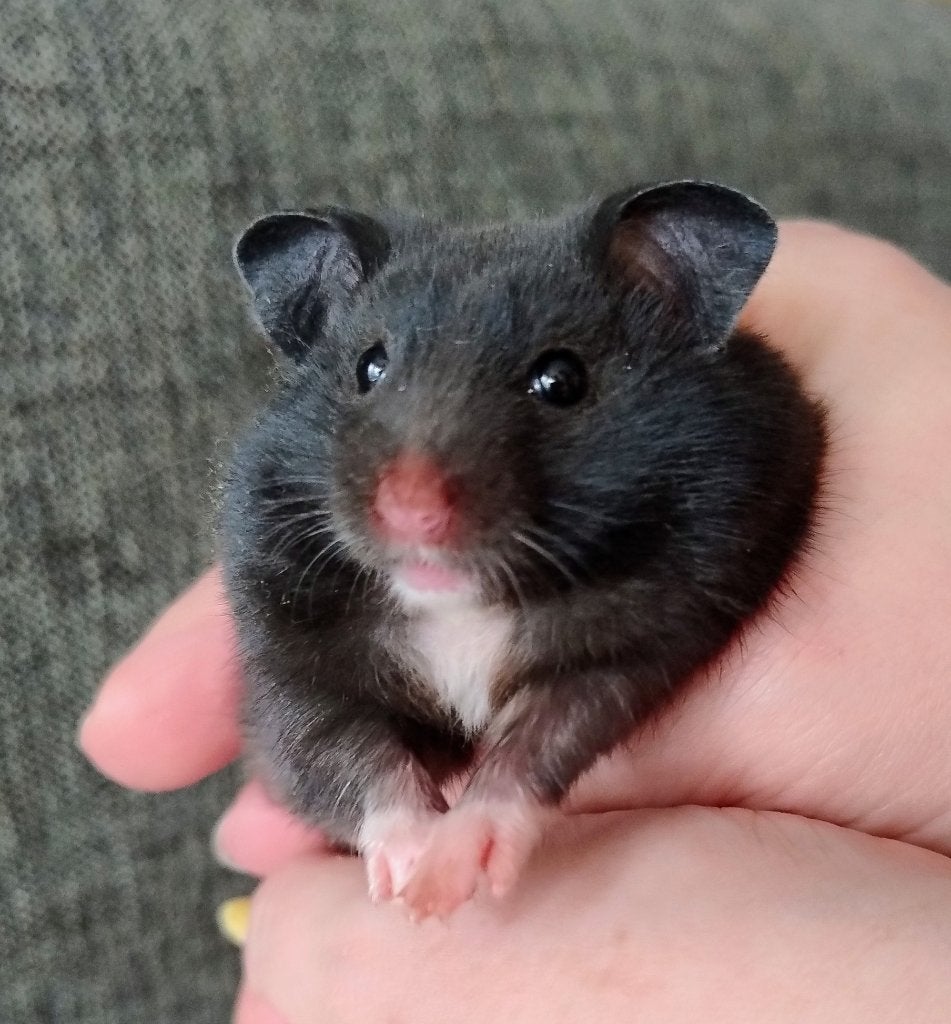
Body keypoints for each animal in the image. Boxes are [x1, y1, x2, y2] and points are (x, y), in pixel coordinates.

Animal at [220, 181, 825, 919]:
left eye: (561, 380)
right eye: (369, 367)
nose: (411, 514)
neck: (456, 607)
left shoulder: (631, 642)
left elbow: (539, 742)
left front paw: (447, 879)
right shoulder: (290, 672)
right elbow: (344, 757)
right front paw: (411, 880)